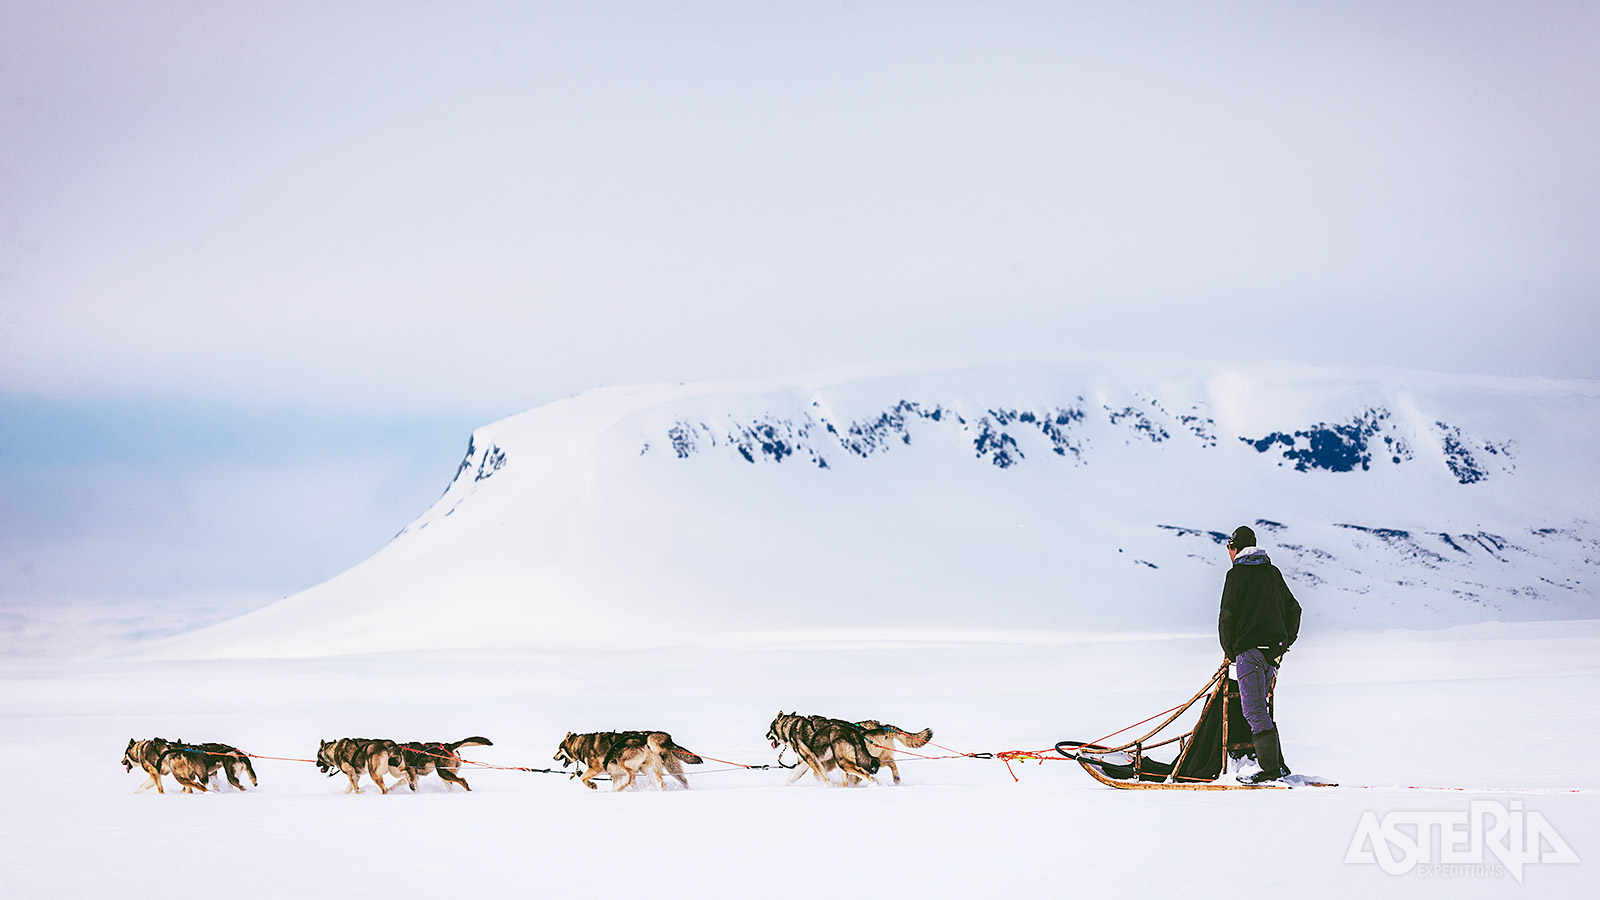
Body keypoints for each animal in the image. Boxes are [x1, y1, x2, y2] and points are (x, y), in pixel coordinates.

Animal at [556, 730, 700, 784]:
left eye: (559, 749)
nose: (553, 757)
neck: (579, 745)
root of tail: (646, 737)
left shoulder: (596, 768)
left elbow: (583, 779)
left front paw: (592, 785)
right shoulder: (616, 774)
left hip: (623, 761)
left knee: (632, 776)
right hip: (665, 768)